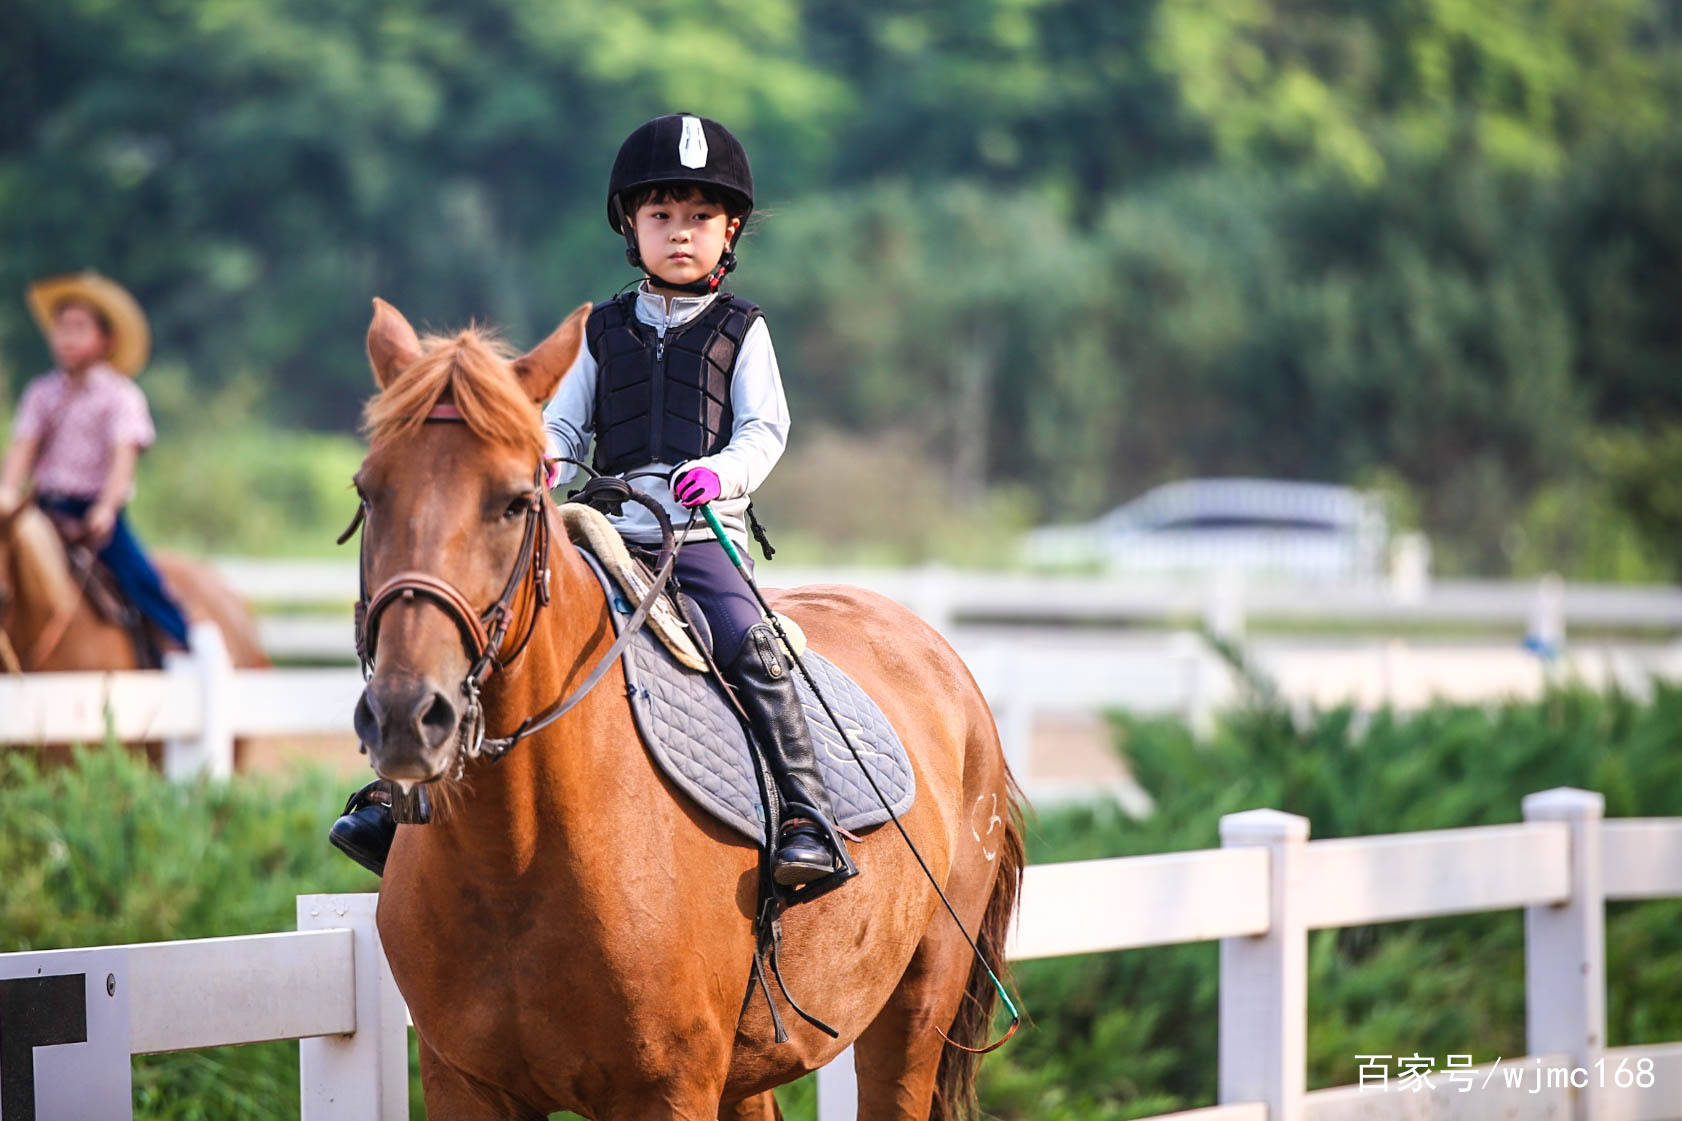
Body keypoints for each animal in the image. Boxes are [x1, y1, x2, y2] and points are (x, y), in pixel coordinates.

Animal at [354, 299, 1022, 1117]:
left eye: (513, 502)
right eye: (368, 491)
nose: (406, 714)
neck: (513, 856)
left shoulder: (669, 1087)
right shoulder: (465, 1083)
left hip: (917, 1007)